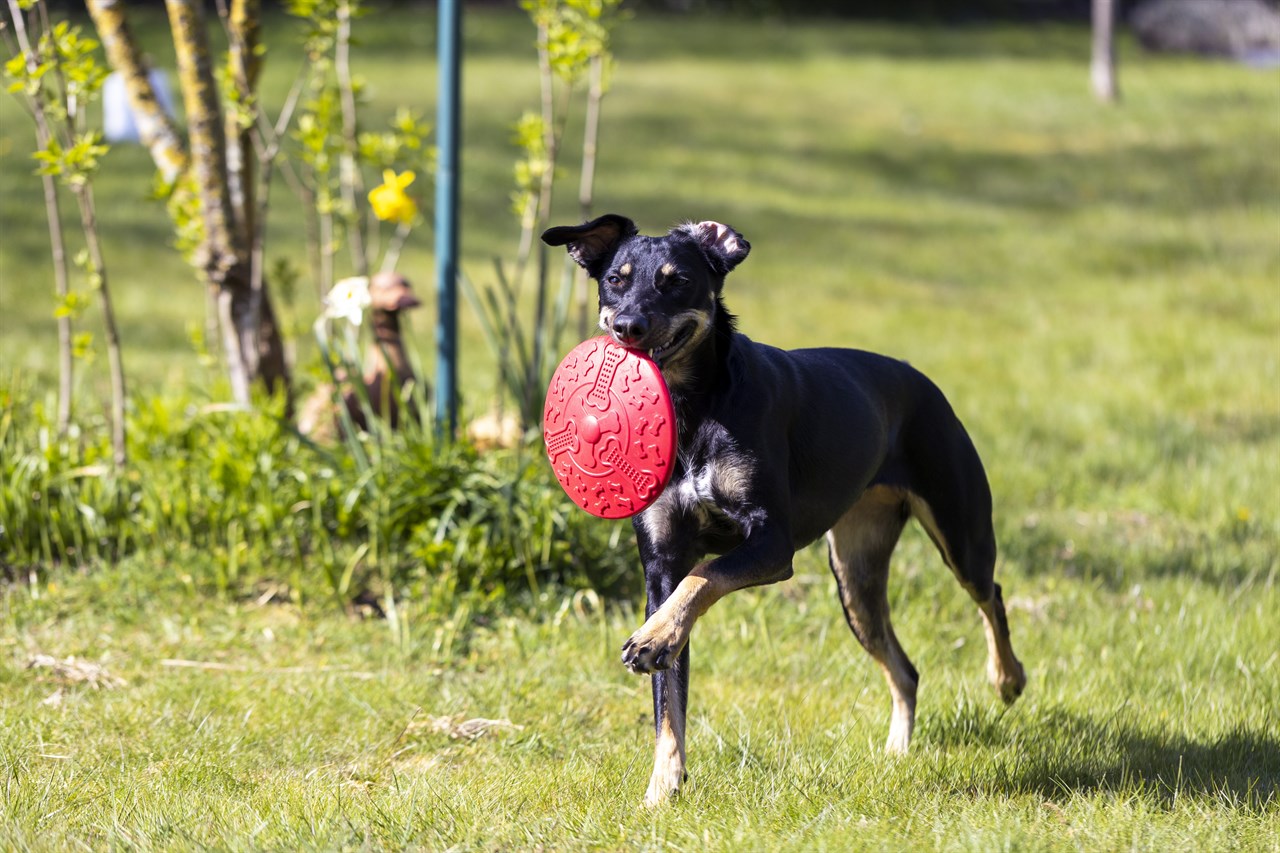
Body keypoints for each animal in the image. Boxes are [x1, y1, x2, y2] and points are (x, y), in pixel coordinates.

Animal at [540, 212, 1029, 804]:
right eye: (615, 279)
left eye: (677, 280)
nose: (628, 327)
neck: (695, 407)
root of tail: (922, 381)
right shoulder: (660, 565)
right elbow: (667, 695)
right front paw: (663, 786)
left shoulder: (771, 544)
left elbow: (704, 577)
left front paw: (654, 637)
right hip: (855, 579)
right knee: (906, 669)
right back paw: (897, 750)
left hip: (959, 532)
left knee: (990, 595)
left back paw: (1007, 678)